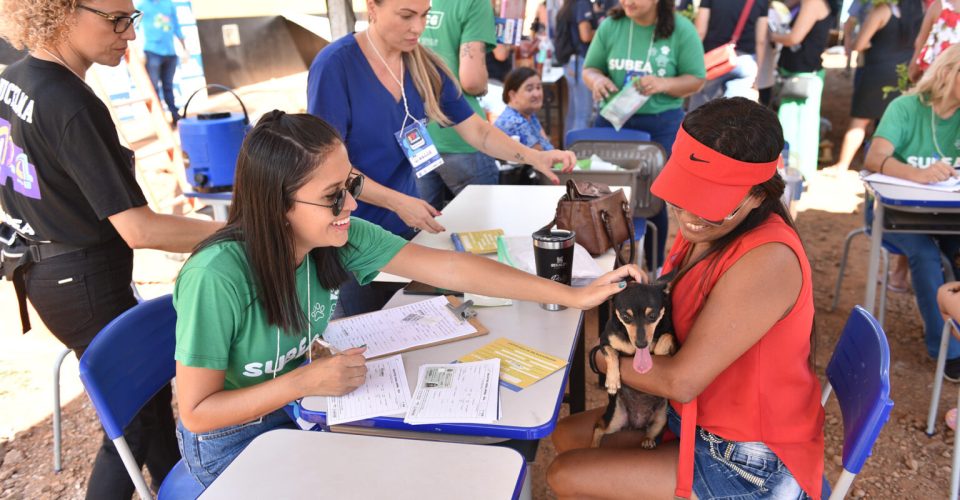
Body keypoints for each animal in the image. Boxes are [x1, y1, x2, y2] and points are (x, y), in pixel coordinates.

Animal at [592, 276, 676, 448]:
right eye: (626, 317)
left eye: (653, 316)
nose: (641, 344)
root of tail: (635, 424)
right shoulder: (603, 343)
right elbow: (612, 354)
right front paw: (612, 381)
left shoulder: (673, 341)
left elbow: (665, 337)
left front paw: (659, 350)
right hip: (614, 420)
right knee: (598, 427)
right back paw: (593, 446)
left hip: (661, 418)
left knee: (650, 431)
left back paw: (648, 441)